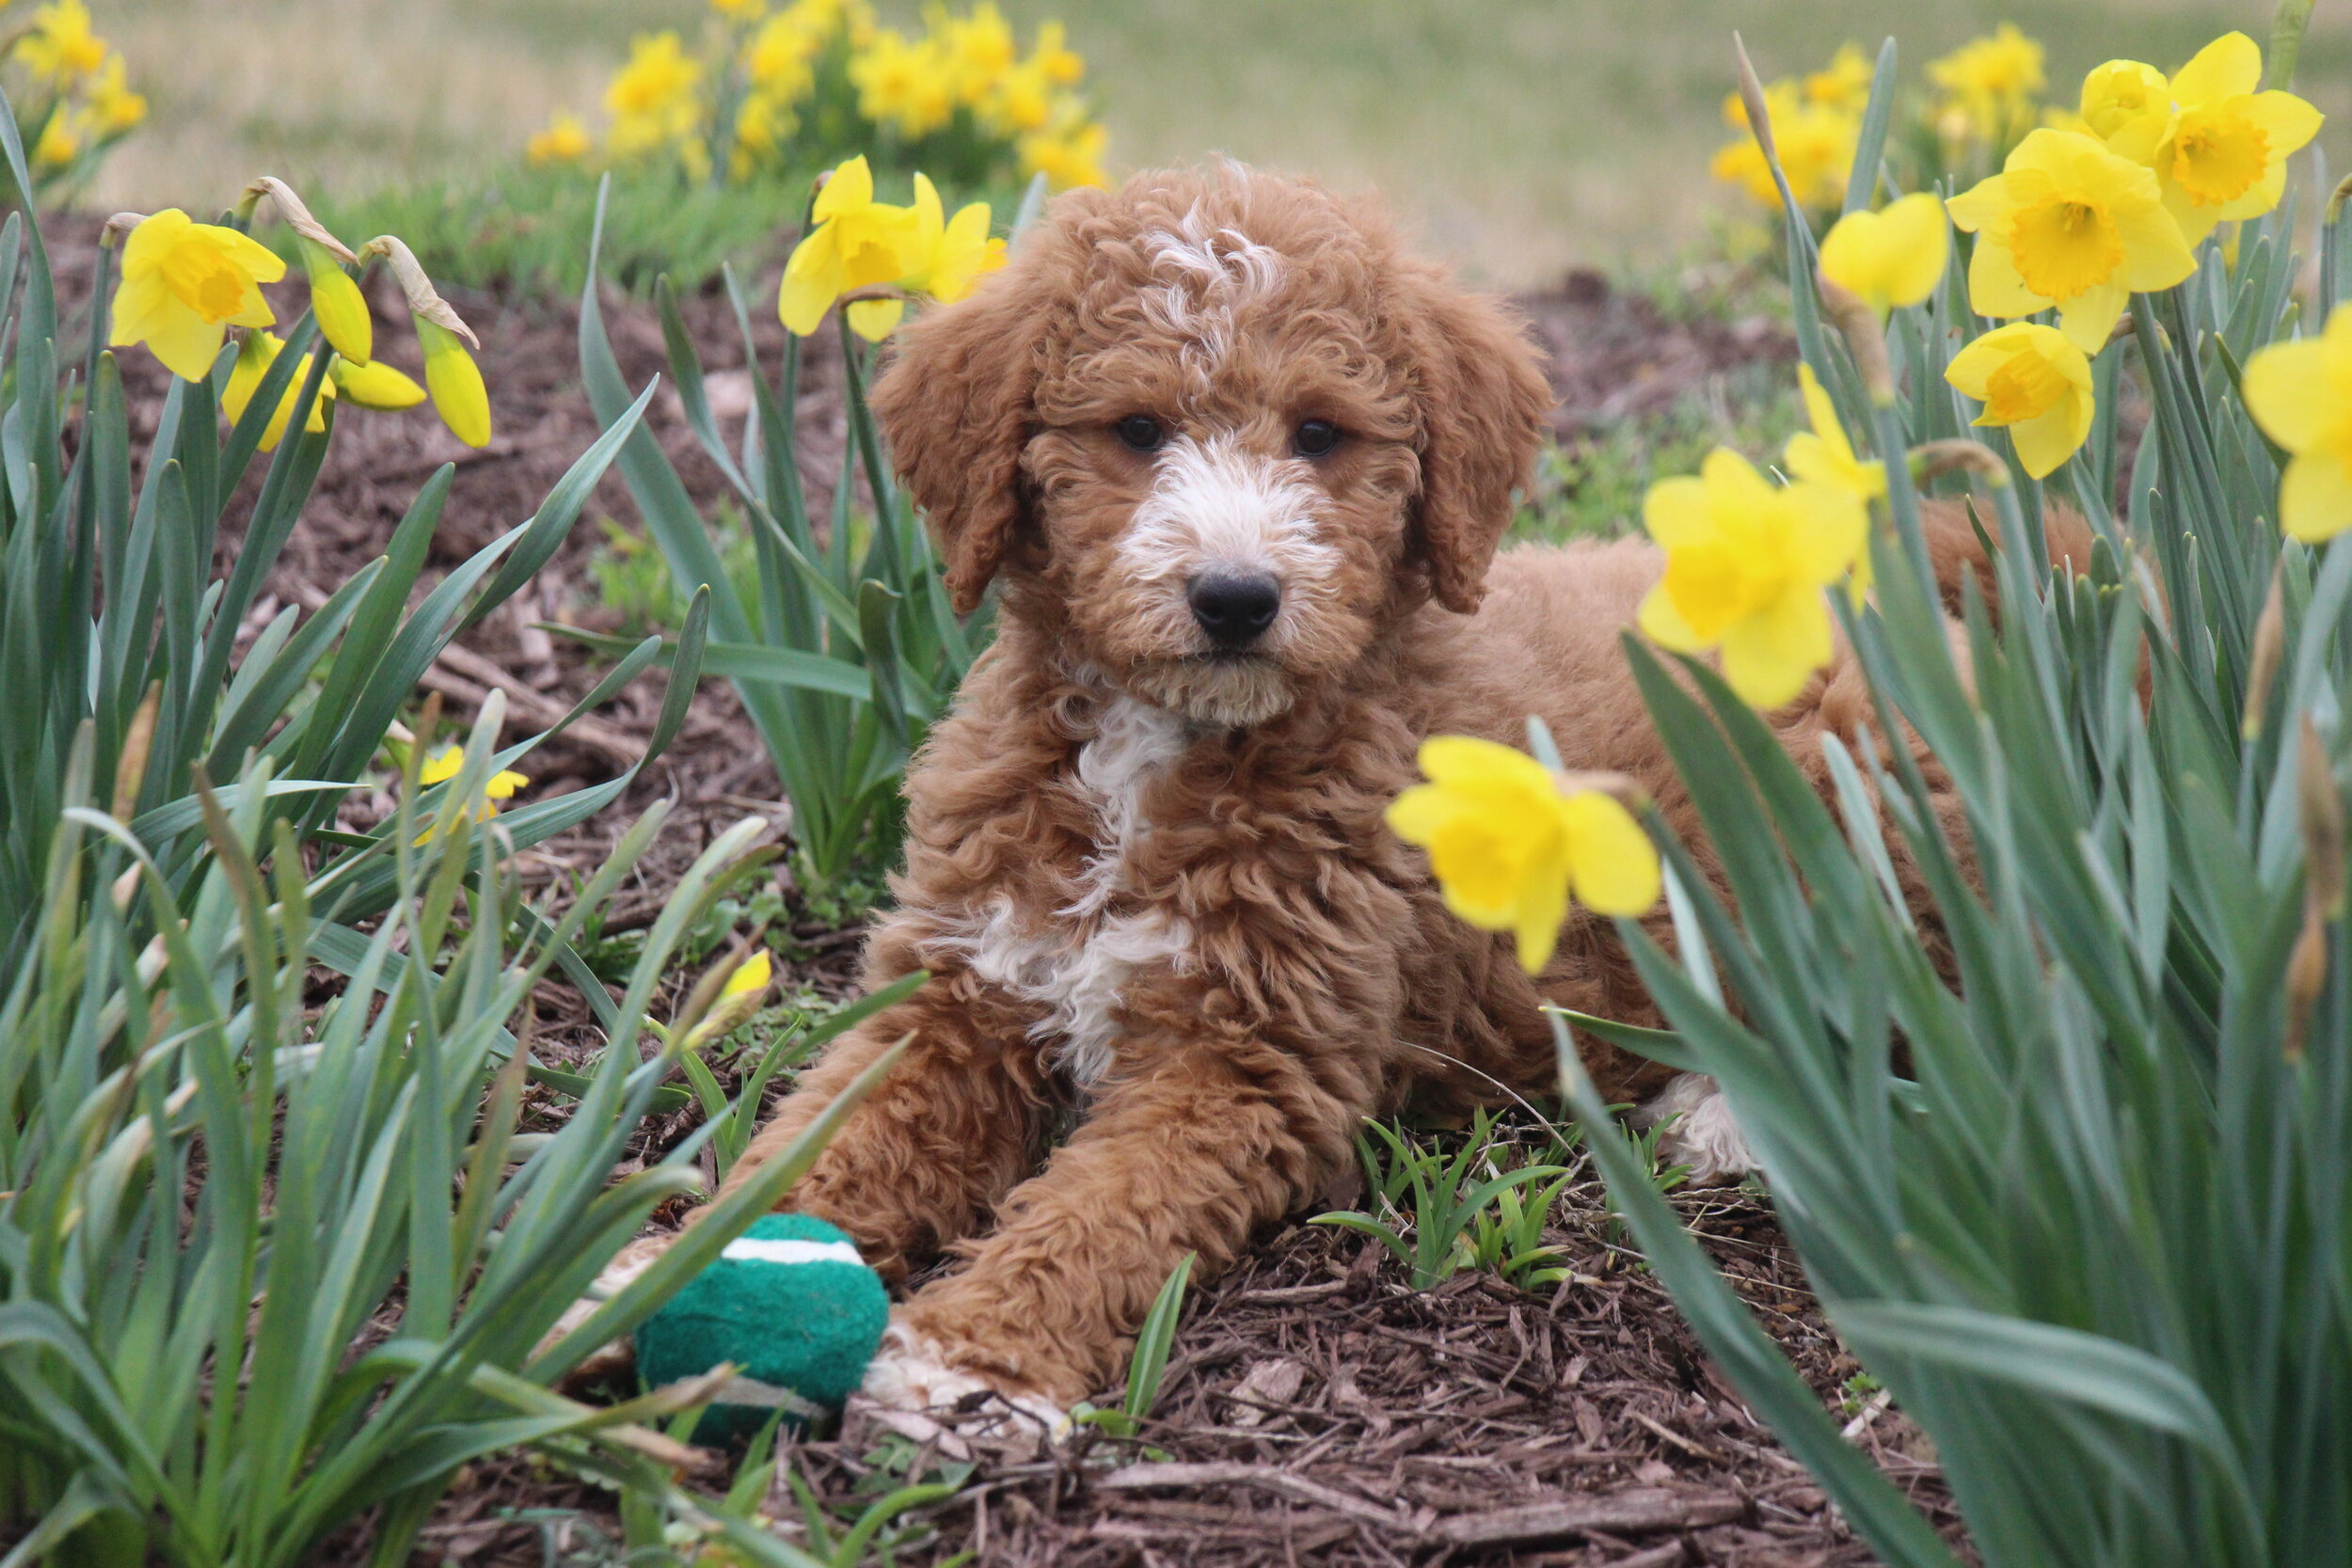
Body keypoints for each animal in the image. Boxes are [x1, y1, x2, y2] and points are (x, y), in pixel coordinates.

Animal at [588, 166, 2004, 1429]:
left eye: (1321, 432)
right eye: (1137, 429)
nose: (1234, 596)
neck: (1159, 750)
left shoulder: (1249, 1060)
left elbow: (1105, 1206)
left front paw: (973, 1357)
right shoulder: (953, 991)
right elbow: (823, 1133)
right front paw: (654, 1269)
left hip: (1869, 783)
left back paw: (1721, 1114)